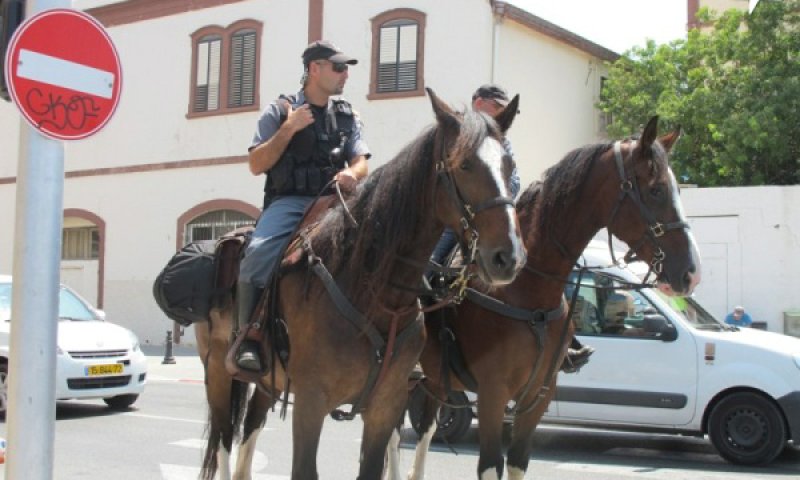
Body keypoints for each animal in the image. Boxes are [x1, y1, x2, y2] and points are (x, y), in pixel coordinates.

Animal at [197, 89, 528, 480]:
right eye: (463, 165)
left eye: (509, 166)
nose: (508, 256)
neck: (373, 292)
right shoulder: (310, 402)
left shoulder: (387, 404)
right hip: (218, 371)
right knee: (224, 438)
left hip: (267, 381)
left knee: (248, 434)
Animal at [392, 116, 700, 480]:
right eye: (656, 190)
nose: (691, 272)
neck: (528, 293)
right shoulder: (493, 395)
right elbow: (490, 465)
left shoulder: (538, 396)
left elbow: (517, 463)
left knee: (422, 427)